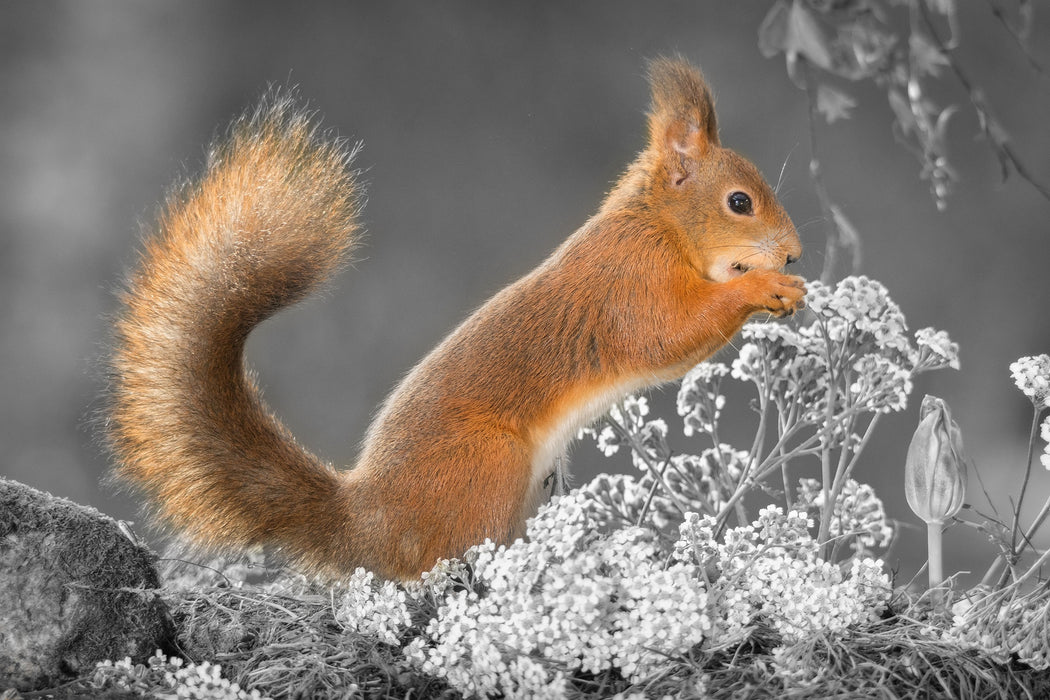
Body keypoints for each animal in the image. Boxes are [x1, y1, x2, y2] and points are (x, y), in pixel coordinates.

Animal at [108, 58, 802, 579]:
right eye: (739, 202)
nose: (795, 252)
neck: (658, 225)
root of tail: (369, 525)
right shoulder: (631, 285)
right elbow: (669, 336)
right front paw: (765, 287)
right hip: (486, 467)